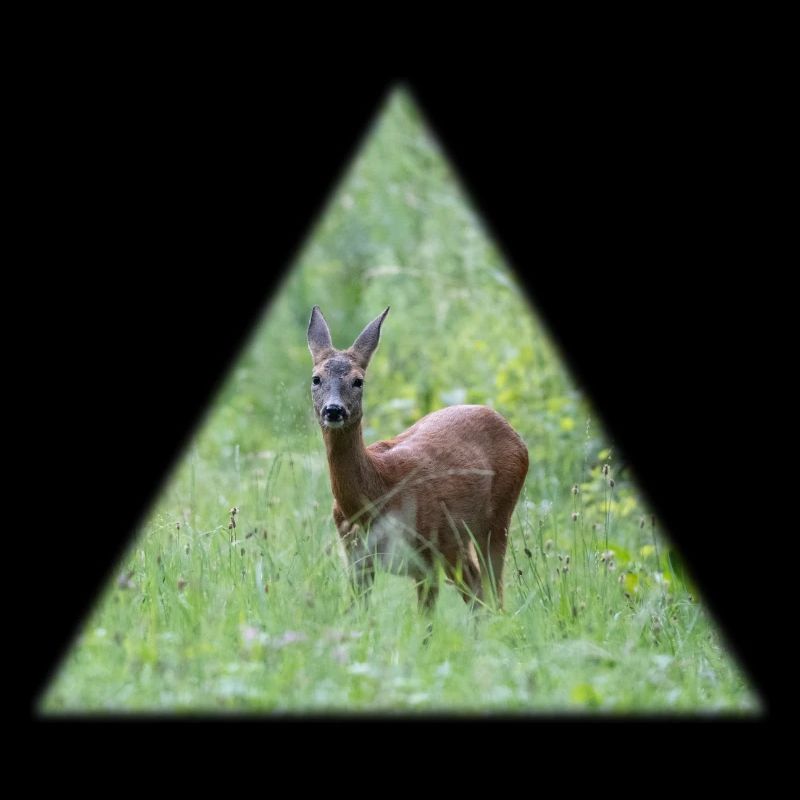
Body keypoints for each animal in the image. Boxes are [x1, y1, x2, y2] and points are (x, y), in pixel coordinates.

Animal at [307, 305, 529, 612]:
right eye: (316, 378)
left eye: (358, 381)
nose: (333, 410)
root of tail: (513, 431)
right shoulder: (355, 556)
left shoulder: (427, 555)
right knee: (478, 587)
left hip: (493, 518)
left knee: (488, 587)